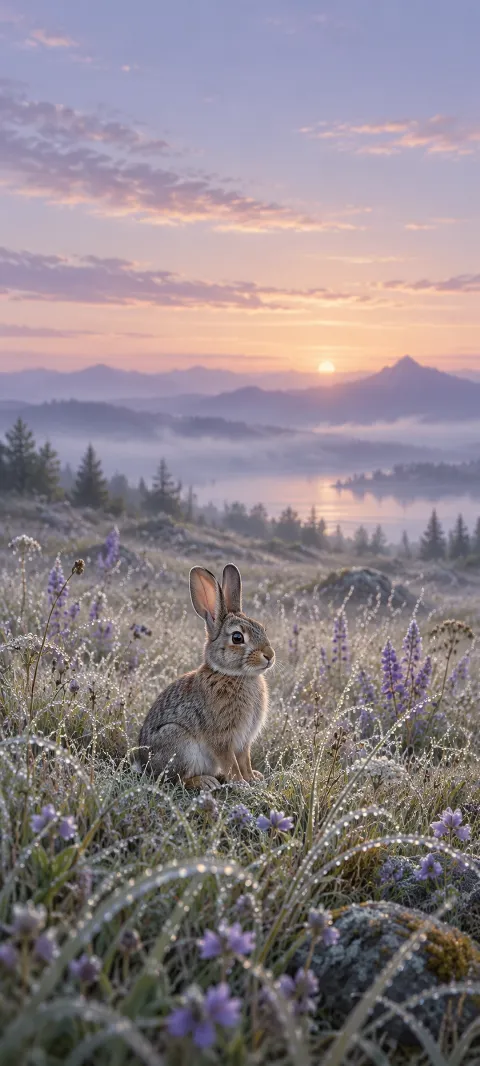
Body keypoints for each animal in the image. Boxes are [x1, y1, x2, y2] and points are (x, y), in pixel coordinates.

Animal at [138, 563, 275, 790]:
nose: (270, 656)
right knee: (175, 780)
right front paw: (241, 784)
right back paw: (205, 782)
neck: (234, 675)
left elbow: (244, 761)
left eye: (262, 628)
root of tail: (143, 766)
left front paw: (253, 779)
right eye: (237, 638)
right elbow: (231, 763)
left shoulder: (243, 741)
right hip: (178, 742)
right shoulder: (222, 739)